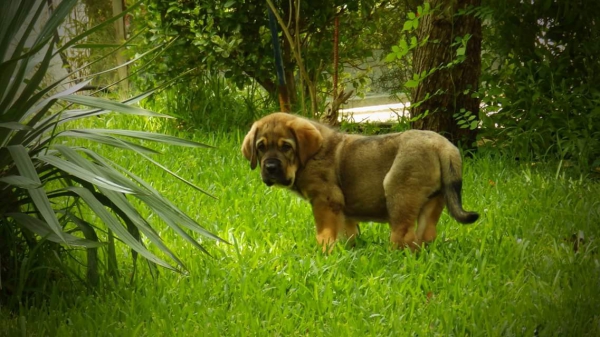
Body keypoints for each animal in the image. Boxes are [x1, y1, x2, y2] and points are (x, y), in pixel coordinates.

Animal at [240, 113, 478, 249]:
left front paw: (323, 251)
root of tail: (443, 146)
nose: (270, 168)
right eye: (260, 147)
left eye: (286, 147)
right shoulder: (342, 209)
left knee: (403, 234)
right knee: (426, 233)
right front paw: (348, 249)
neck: (308, 157)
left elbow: (325, 232)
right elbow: (347, 231)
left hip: (399, 193)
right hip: (434, 200)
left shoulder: (325, 200)